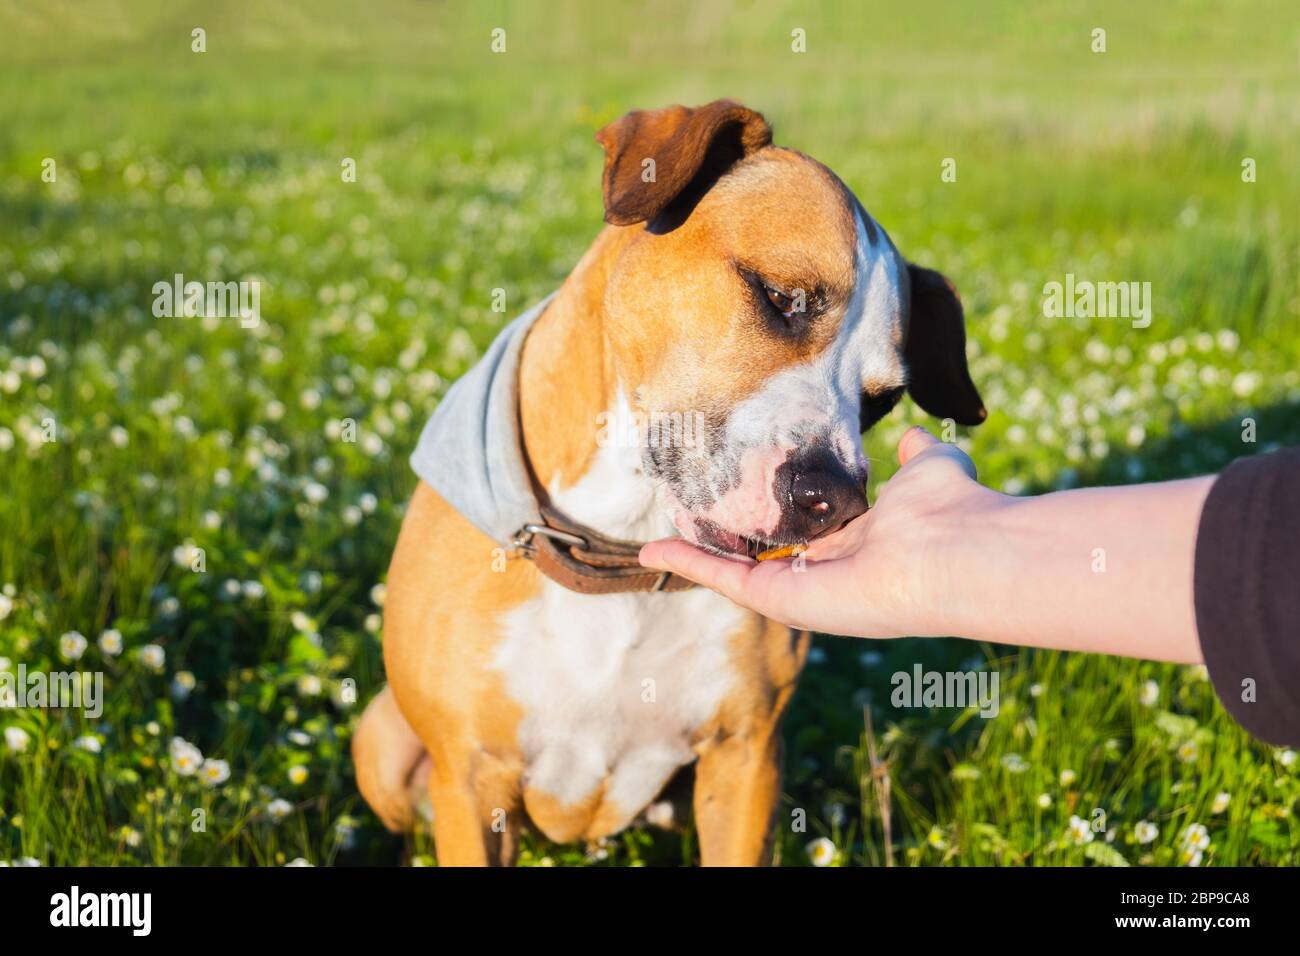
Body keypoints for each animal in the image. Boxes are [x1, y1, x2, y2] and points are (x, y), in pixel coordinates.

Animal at [351, 98, 977, 868]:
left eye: (883, 402)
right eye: (780, 298)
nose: (835, 503)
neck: (622, 543)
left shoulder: (746, 760)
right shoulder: (470, 780)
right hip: (379, 744)